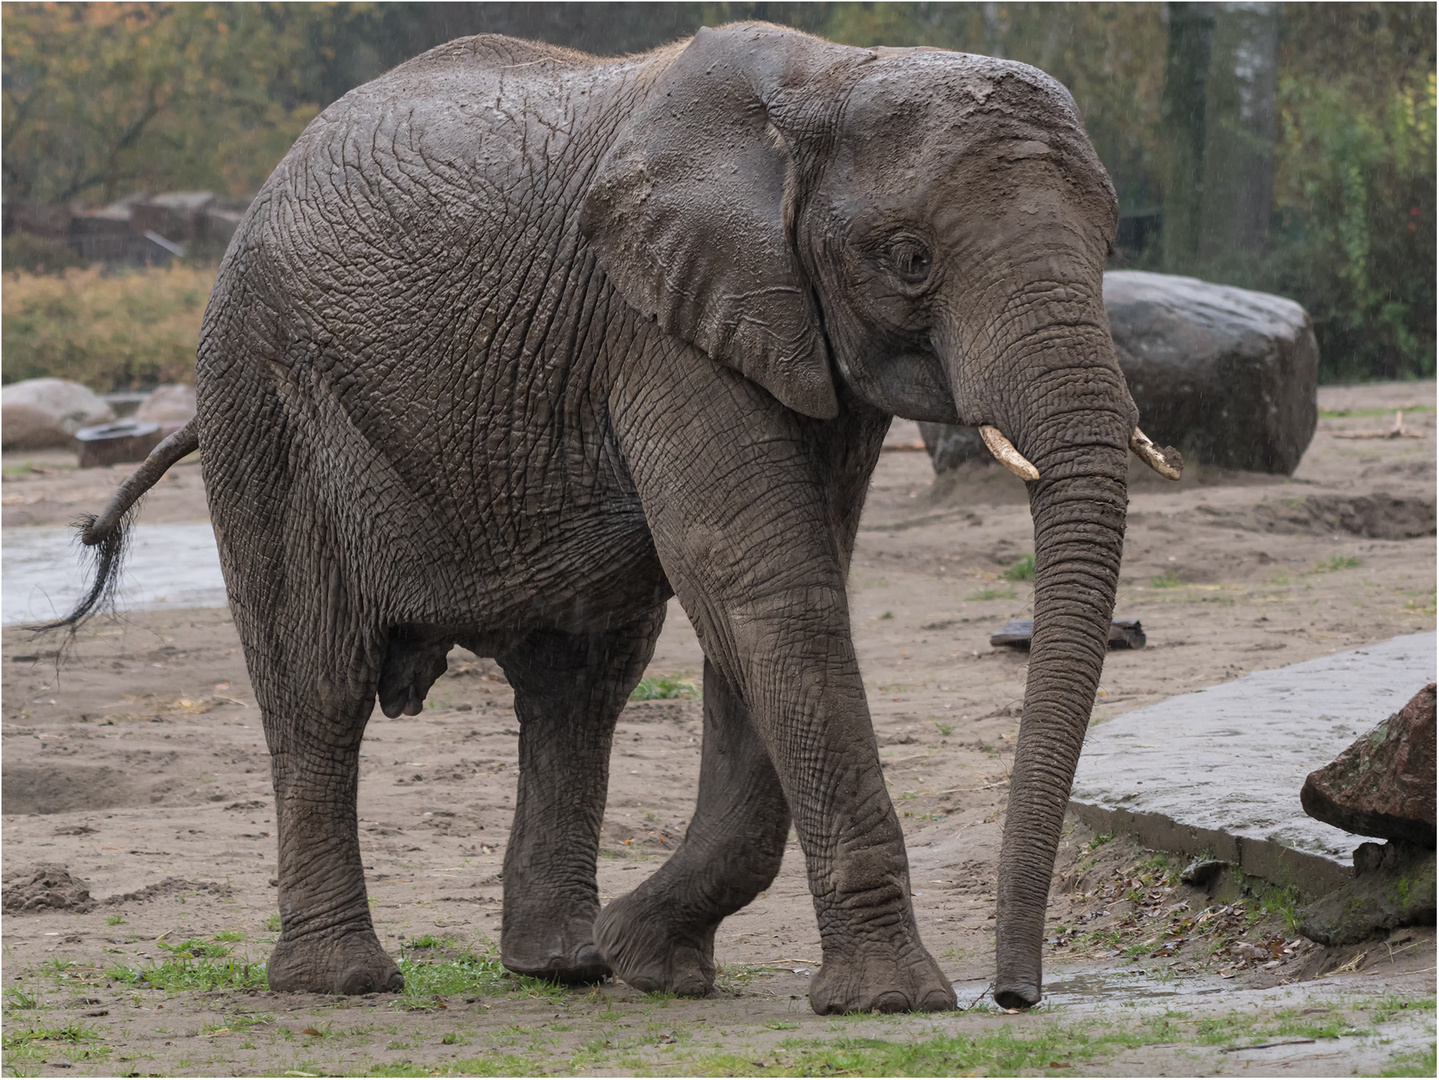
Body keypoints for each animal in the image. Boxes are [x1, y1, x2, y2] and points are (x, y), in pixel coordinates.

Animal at [53, 21, 1179, 1012]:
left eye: (1109, 242)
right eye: (909, 259)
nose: (1016, 996)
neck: (828, 76)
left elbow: (772, 589)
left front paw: (648, 959)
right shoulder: (650, 327)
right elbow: (763, 581)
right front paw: (891, 1004)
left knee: (578, 687)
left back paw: (562, 964)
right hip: (261, 394)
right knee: (317, 686)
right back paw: (343, 984)